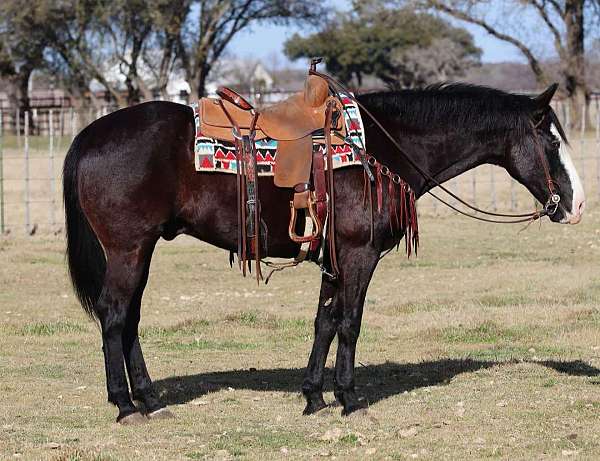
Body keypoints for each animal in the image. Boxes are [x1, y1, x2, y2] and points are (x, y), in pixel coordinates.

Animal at [63, 82, 584, 420]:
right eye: (550, 138)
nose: (577, 205)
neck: (382, 149)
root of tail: (90, 135)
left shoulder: (334, 259)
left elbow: (325, 321)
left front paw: (314, 397)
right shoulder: (359, 254)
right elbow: (350, 322)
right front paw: (349, 399)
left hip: (141, 250)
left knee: (129, 318)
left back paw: (150, 400)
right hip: (128, 249)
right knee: (115, 315)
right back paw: (125, 405)